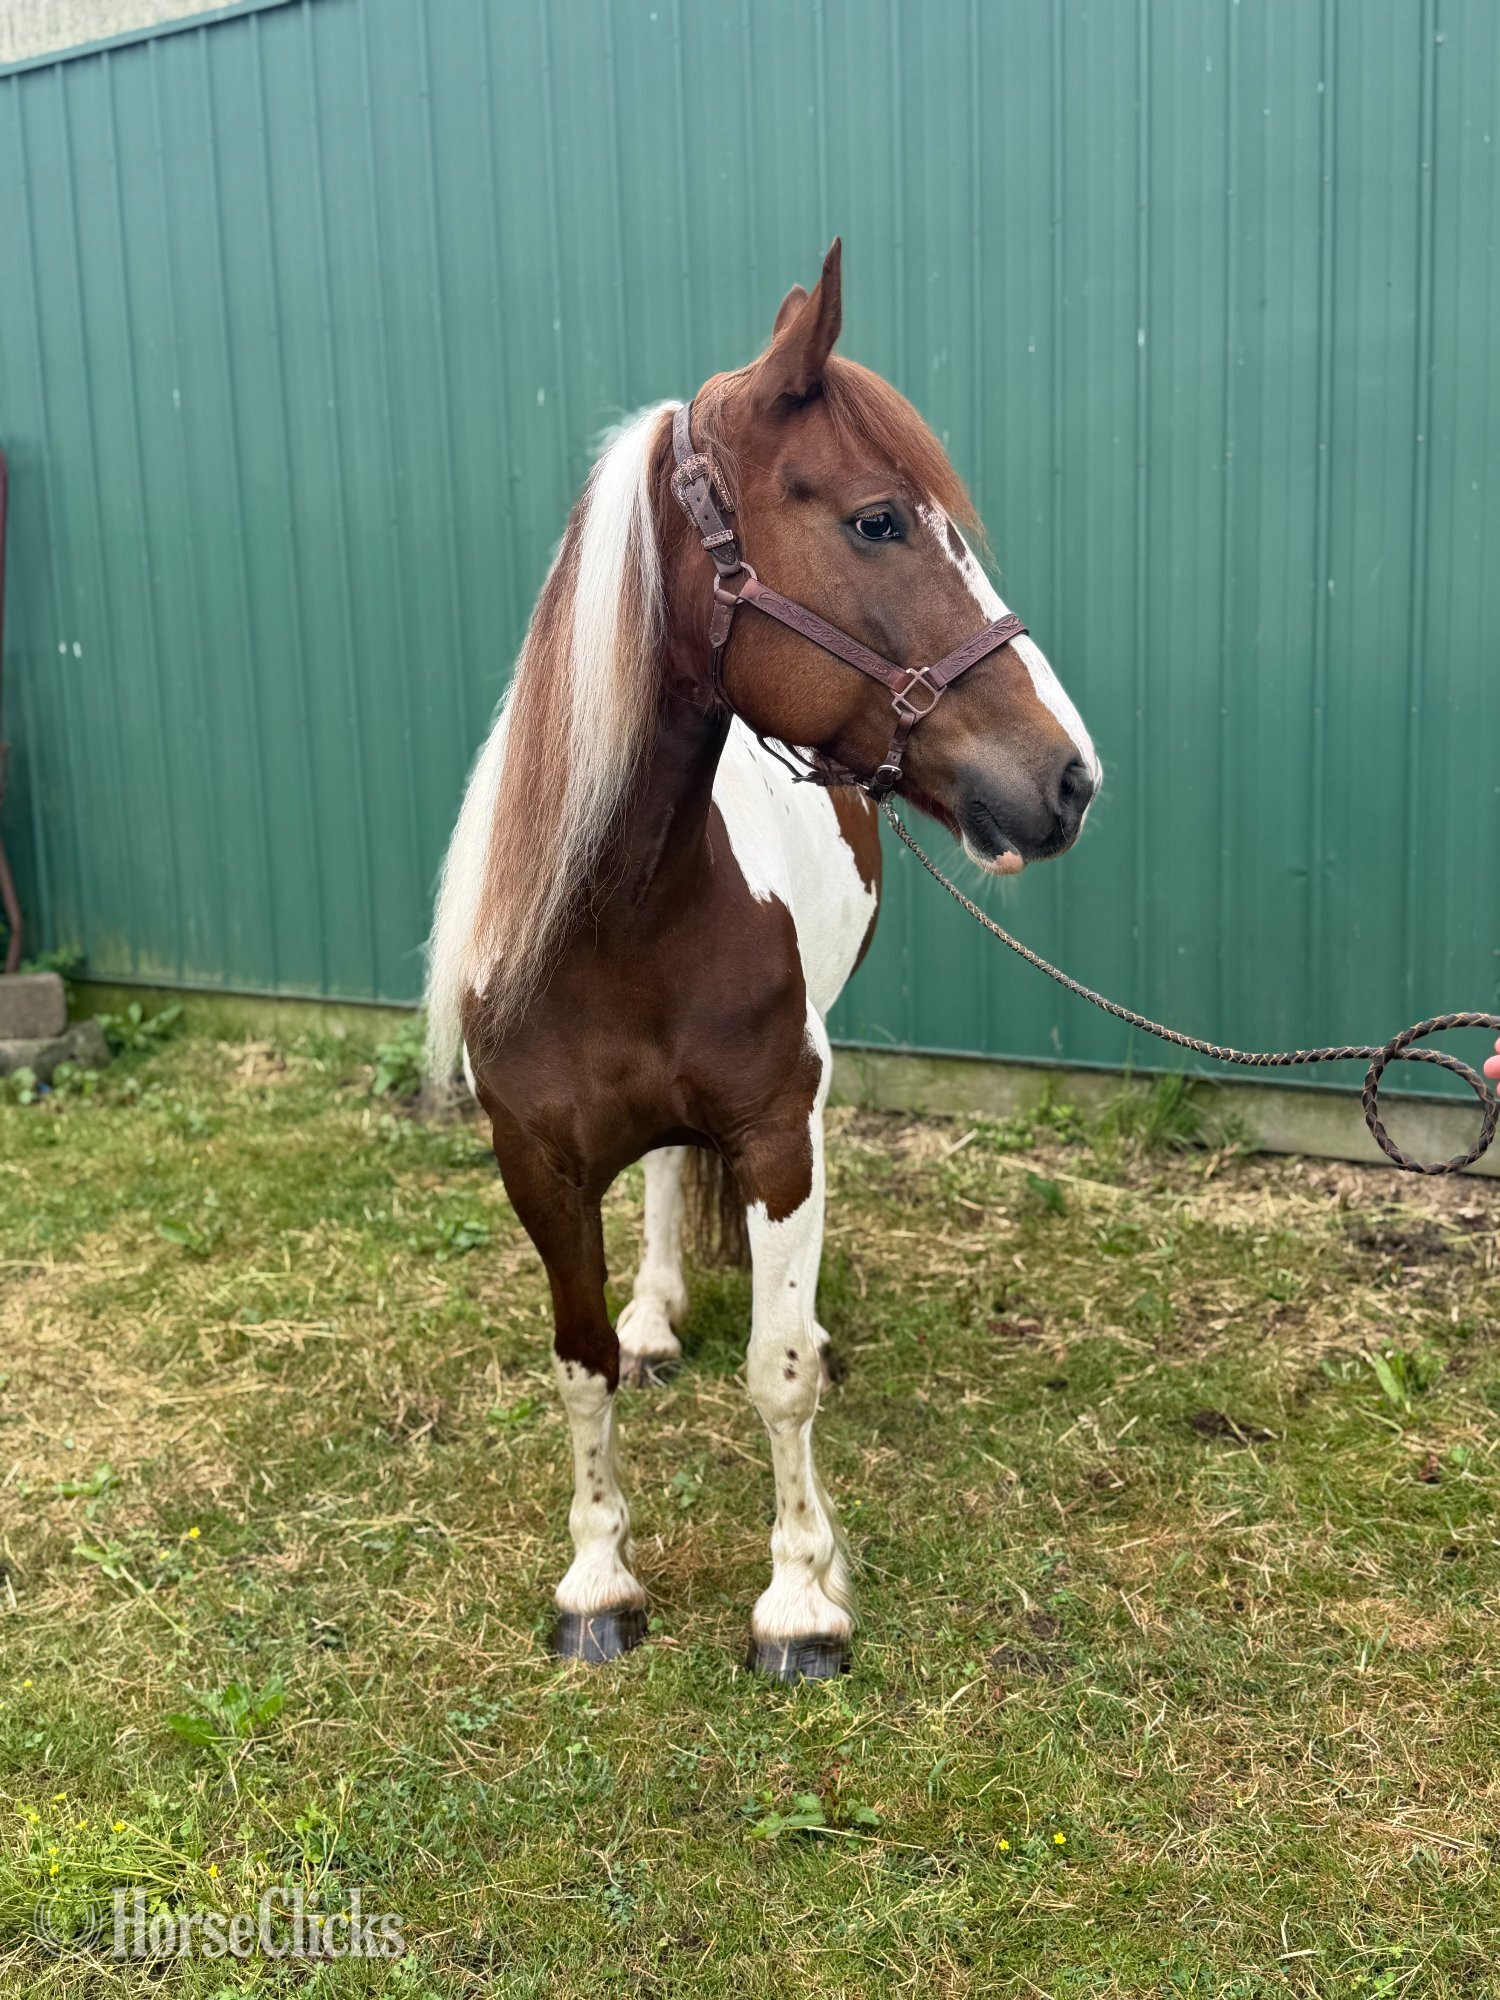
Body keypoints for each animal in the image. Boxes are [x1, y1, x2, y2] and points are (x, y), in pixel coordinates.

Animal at [425, 241, 1100, 1681]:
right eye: (879, 521)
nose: (1070, 777)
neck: (618, 921)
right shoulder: (536, 1163)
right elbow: (577, 1364)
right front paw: (598, 1577)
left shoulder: (780, 1127)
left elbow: (779, 1372)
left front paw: (800, 1596)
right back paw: (657, 1315)